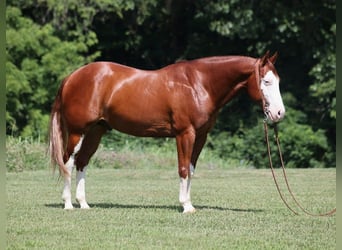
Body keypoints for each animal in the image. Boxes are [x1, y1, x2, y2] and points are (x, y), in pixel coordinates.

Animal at [47, 50, 284, 213]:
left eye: (278, 81)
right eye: (266, 81)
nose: (279, 113)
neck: (199, 84)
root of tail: (71, 78)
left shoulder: (200, 136)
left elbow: (191, 169)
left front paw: (190, 204)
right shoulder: (184, 134)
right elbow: (183, 169)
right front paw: (185, 206)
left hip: (96, 131)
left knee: (82, 162)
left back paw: (83, 203)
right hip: (77, 131)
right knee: (68, 161)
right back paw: (68, 204)